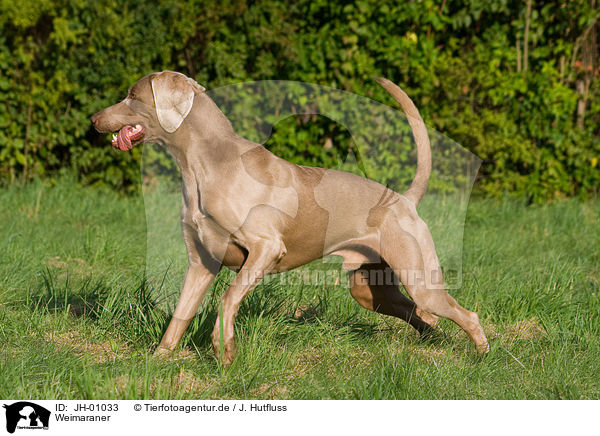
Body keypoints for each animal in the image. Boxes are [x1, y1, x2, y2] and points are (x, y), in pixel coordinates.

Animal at [91, 72, 490, 364]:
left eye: (131, 95)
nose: (93, 119)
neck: (203, 164)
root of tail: (404, 199)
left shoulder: (265, 248)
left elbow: (228, 298)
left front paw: (225, 350)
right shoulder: (201, 262)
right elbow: (180, 313)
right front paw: (158, 358)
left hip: (417, 275)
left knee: (460, 313)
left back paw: (483, 356)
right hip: (369, 288)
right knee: (420, 314)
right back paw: (434, 341)